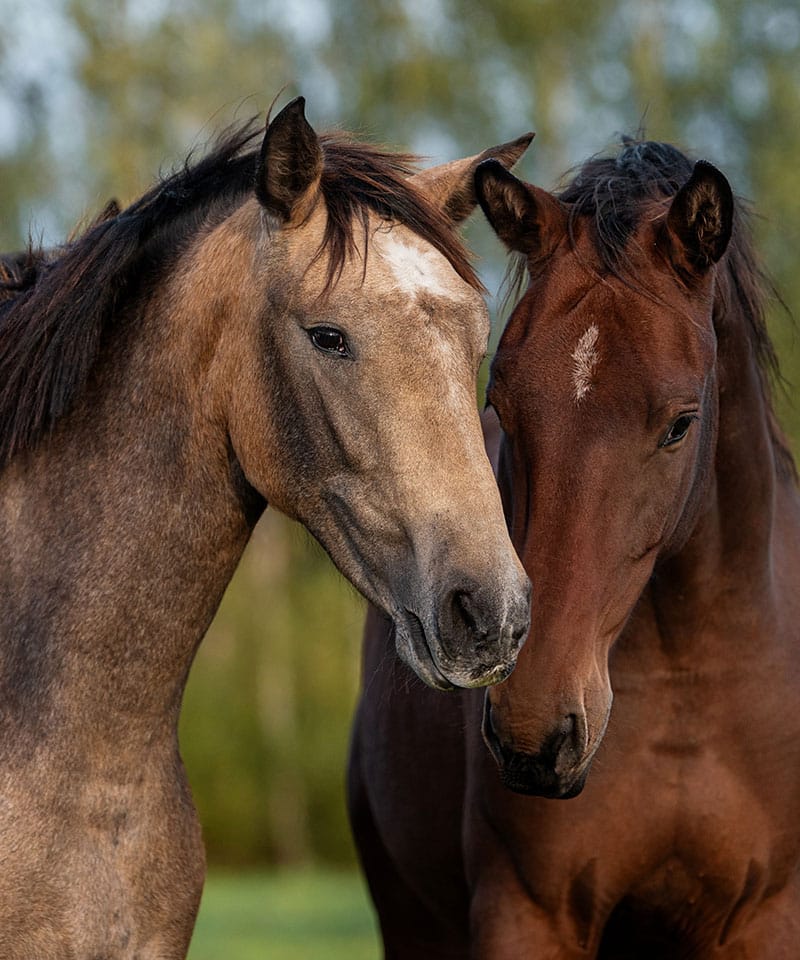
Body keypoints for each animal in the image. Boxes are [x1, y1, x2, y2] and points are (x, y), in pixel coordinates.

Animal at [349, 138, 800, 958]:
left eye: (680, 423)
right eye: (501, 405)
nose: (534, 730)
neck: (690, 678)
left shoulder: (766, 917)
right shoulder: (528, 914)